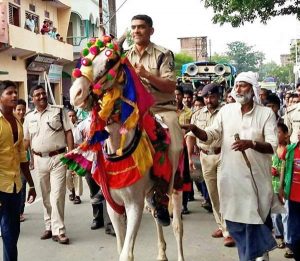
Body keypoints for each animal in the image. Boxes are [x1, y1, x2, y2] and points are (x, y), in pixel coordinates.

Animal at [63, 35, 184, 260]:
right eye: (84, 60)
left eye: (110, 61)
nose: (76, 93)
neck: (117, 145)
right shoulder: (114, 205)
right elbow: (121, 246)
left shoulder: (134, 205)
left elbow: (126, 254)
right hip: (151, 192)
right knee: (157, 215)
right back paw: (161, 253)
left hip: (177, 183)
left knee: (177, 226)